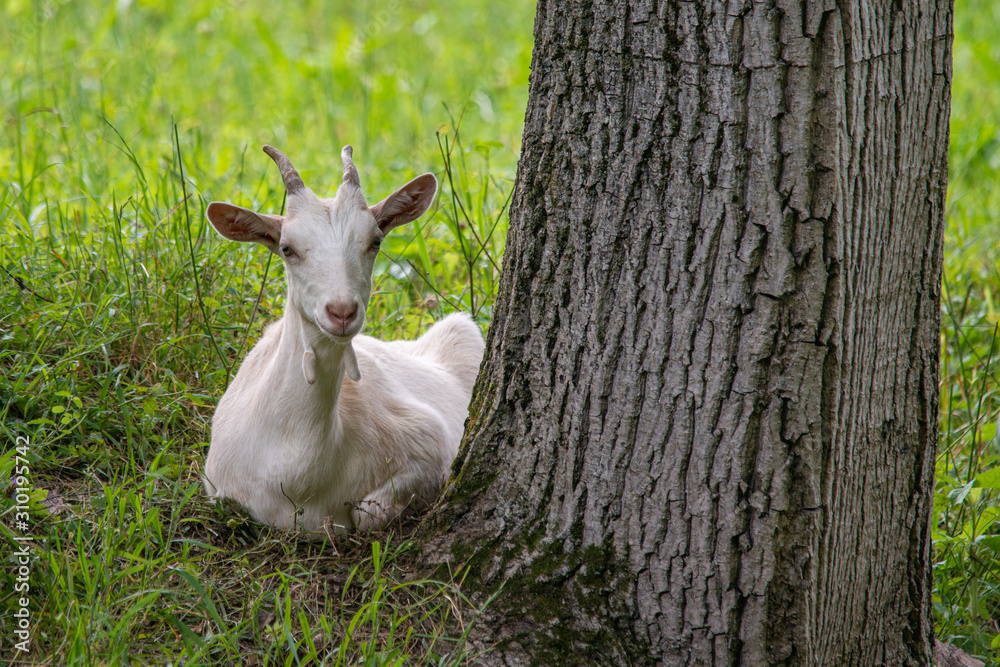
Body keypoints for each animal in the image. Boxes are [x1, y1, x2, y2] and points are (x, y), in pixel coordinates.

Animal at [203, 145, 485, 533]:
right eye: (287, 248)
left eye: (375, 241)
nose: (342, 312)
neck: (296, 473)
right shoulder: (218, 484)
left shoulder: (428, 439)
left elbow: (368, 514)